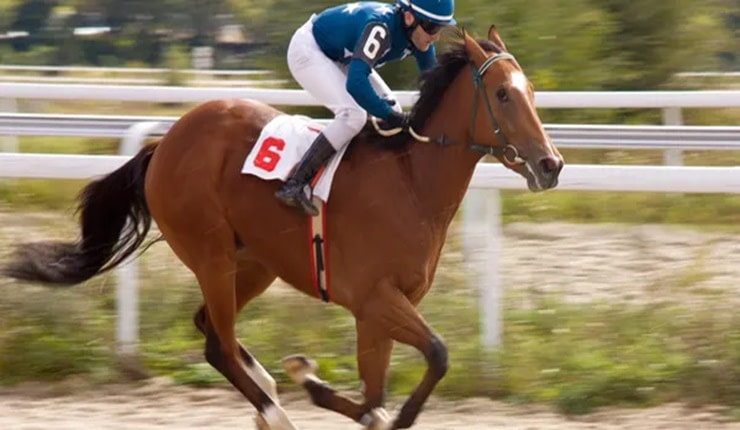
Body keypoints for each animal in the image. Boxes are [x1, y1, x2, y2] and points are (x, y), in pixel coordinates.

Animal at [2, 28, 564, 428]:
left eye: (532, 91)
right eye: (502, 94)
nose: (551, 164)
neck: (410, 183)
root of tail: (163, 143)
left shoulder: (378, 311)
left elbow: (377, 391)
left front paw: (325, 385)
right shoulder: (374, 299)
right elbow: (434, 358)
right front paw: (325, 388)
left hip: (255, 262)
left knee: (212, 329)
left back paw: (272, 392)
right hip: (211, 254)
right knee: (220, 345)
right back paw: (275, 412)